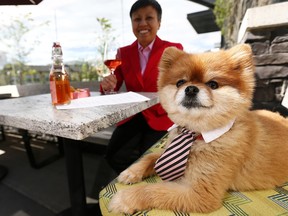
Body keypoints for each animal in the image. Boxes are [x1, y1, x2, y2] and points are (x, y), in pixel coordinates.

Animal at [108, 44, 288, 214]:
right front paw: (132, 171)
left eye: (213, 84)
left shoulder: (200, 194)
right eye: (180, 82)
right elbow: (151, 156)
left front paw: (125, 198)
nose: (191, 88)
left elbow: (153, 190)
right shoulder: (168, 150)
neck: (195, 133)